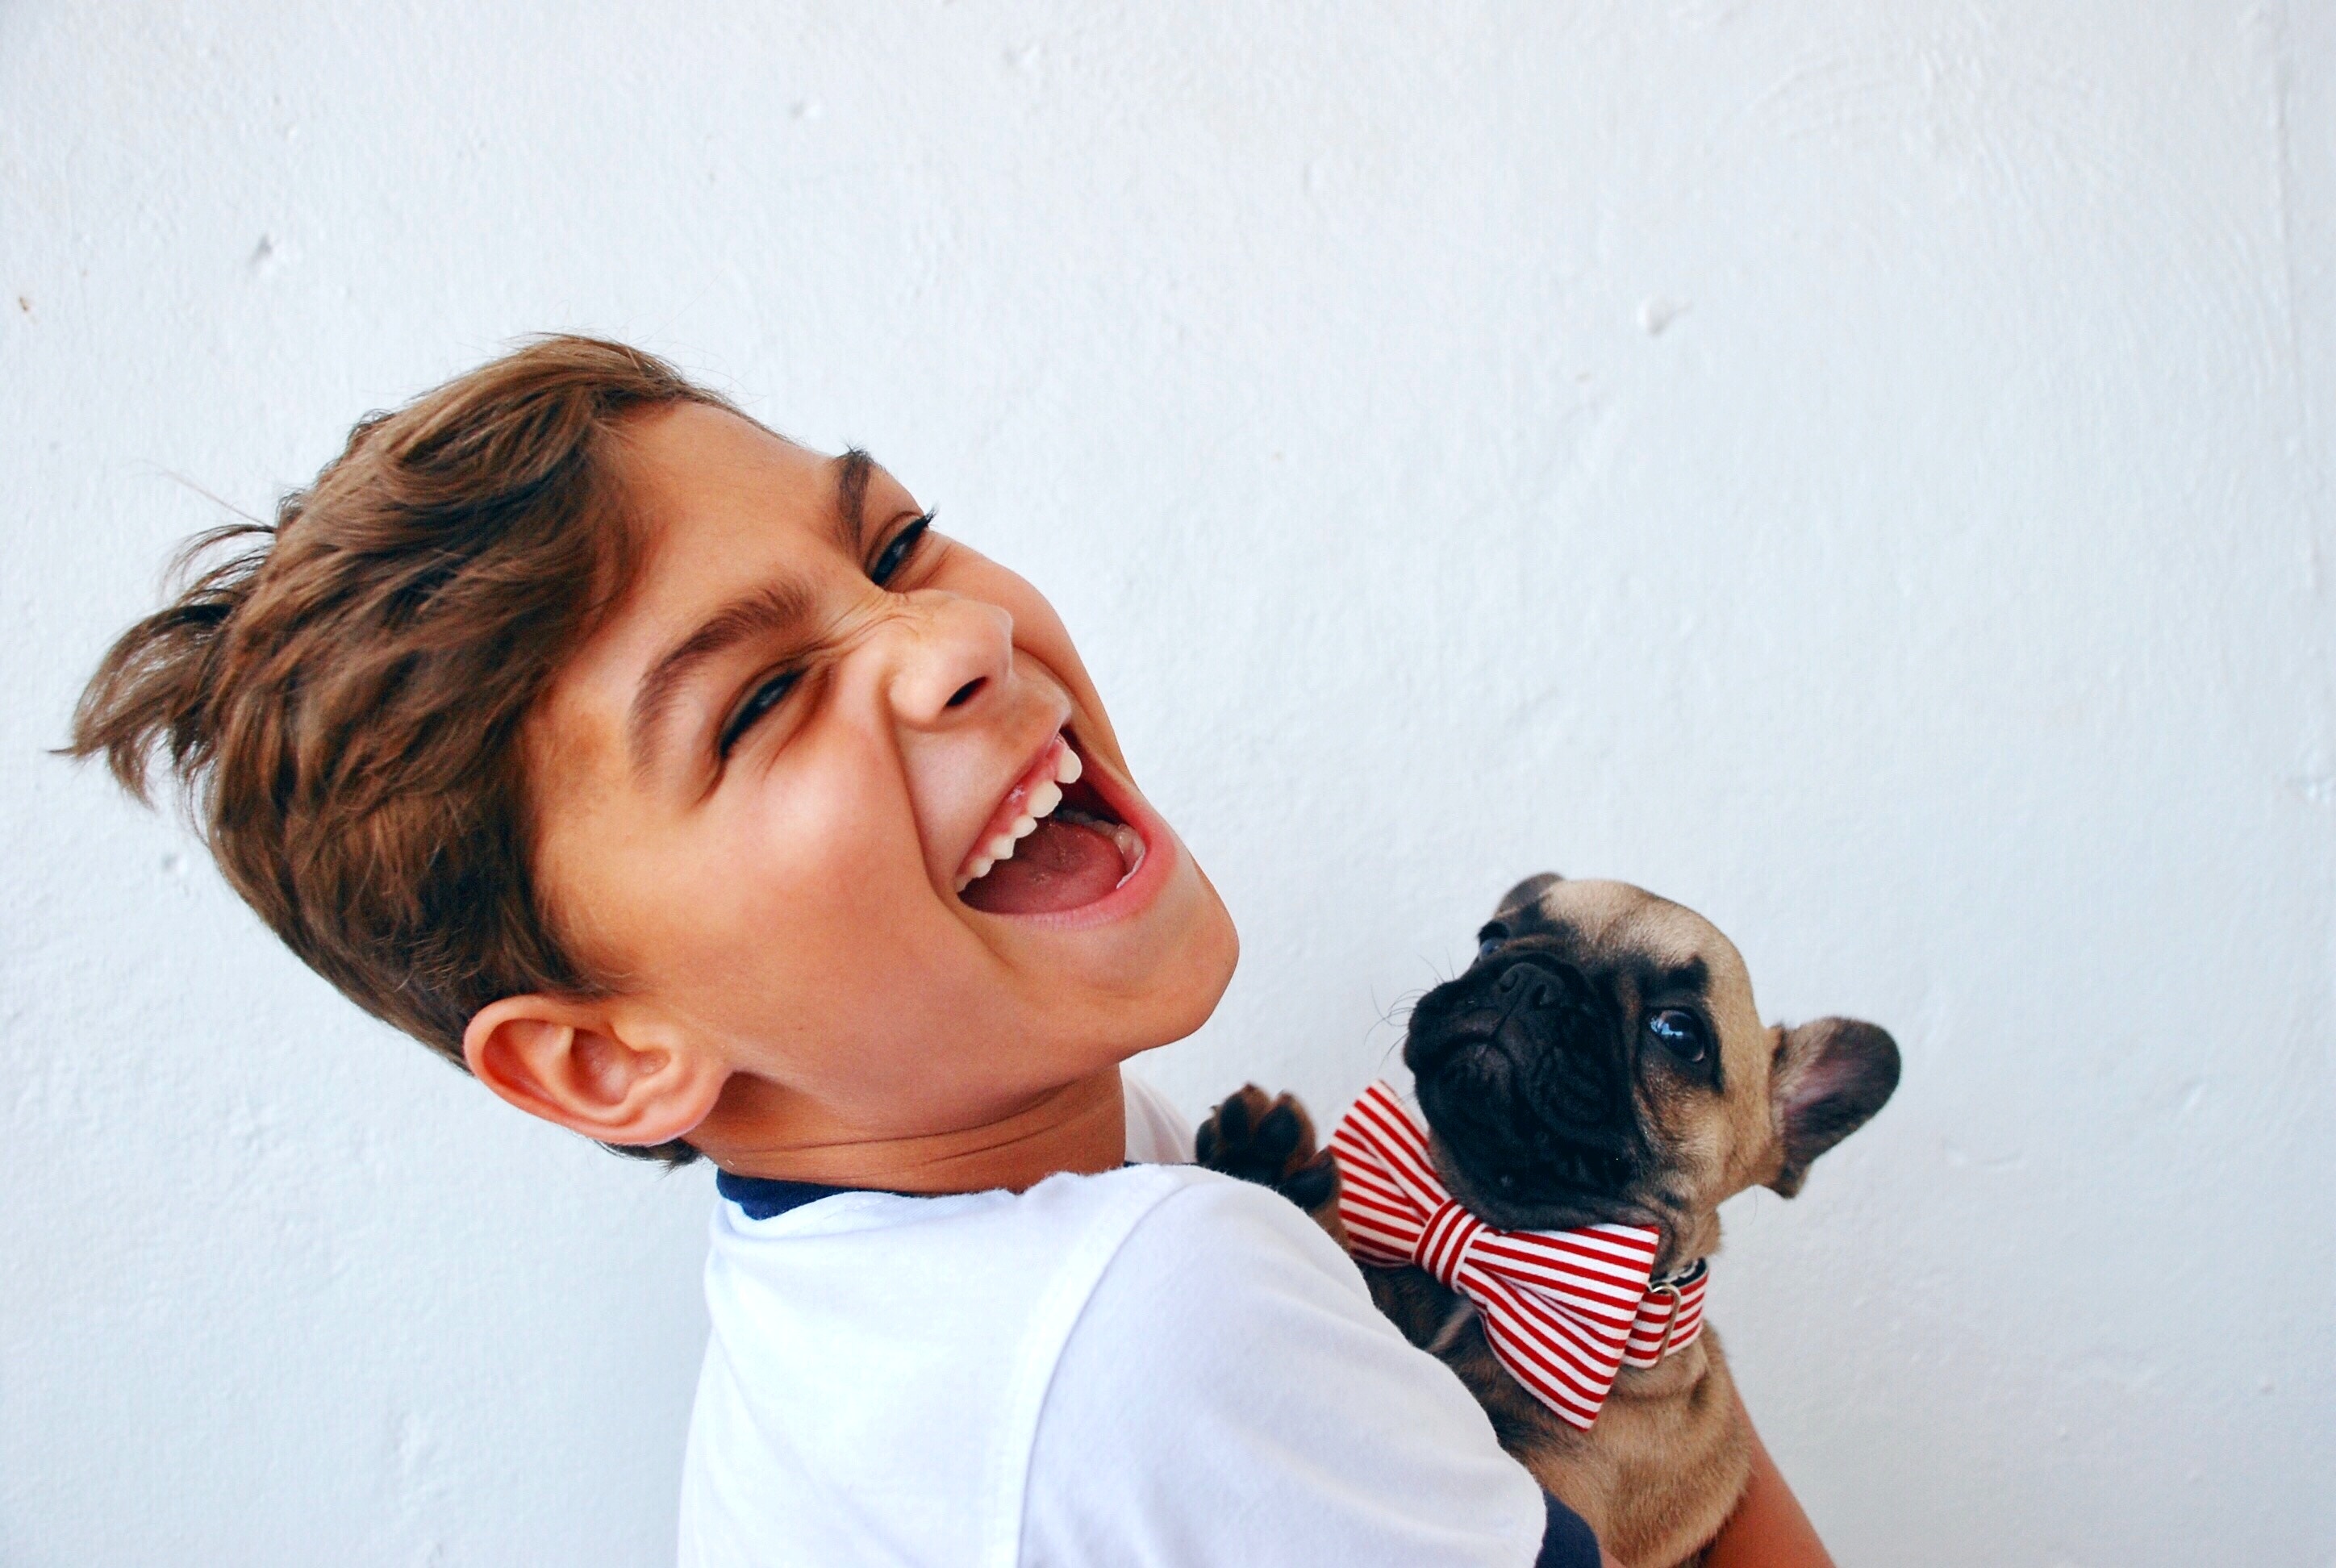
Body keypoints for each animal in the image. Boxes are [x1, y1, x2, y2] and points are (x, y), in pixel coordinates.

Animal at [1205, 878, 1896, 1561]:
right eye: (1491, 941)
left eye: (1680, 1034)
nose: (1530, 977)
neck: (1494, 1245)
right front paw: (1264, 1166)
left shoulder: (1552, 1479)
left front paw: (1272, 1169)